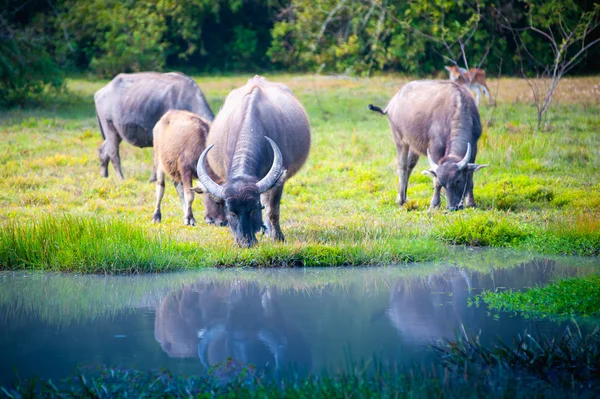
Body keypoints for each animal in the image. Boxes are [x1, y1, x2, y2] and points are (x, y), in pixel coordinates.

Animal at [195, 76, 312, 247]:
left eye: (253, 209)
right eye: (231, 211)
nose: (245, 243)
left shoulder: (279, 180)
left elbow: (272, 210)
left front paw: (278, 237)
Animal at [368, 81, 490, 212]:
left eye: (458, 180)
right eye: (443, 183)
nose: (452, 207)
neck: (457, 107)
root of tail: (392, 103)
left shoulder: (474, 147)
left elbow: (470, 177)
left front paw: (471, 203)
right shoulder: (435, 148)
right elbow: (435, 180)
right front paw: (434, 205)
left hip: (413, 146)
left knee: (409, 166)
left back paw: (405, 197)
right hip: (400, 140)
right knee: (402, 167)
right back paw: (400, 199)